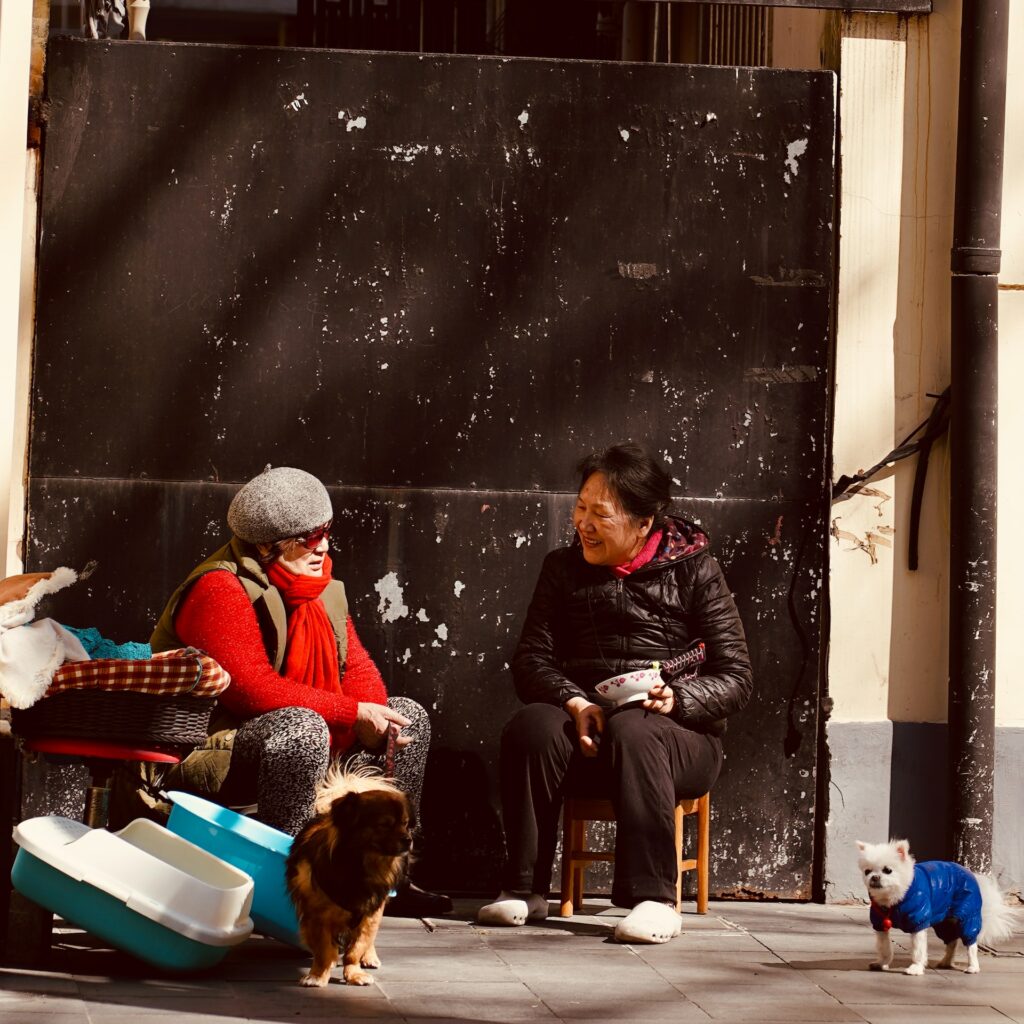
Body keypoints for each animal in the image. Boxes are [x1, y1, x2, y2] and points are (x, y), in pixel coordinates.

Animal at [284, 765, 411, 987]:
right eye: (384, 825)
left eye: (405, 824)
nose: (408, 839)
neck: (360, 867)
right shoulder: (316, 917)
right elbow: (324, 949)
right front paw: (318, 975)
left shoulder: (369, 914)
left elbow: (356, 948)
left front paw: (354, 973)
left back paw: (370, 957)